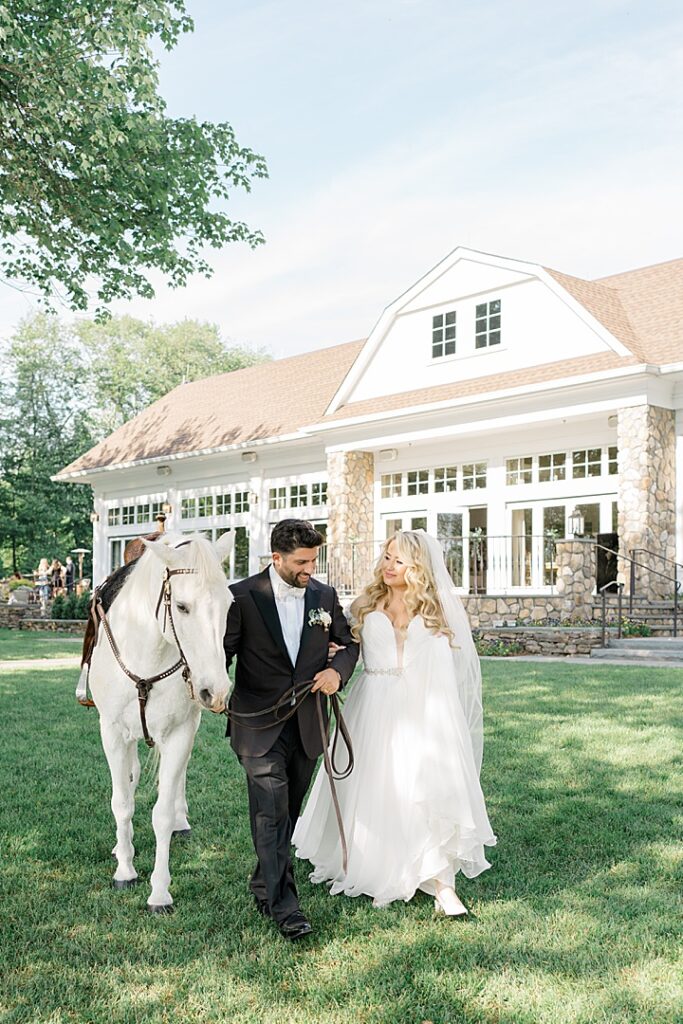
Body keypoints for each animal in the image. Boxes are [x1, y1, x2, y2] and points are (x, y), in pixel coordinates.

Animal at [88, 532, 233, 909]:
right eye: (181, 606)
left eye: (229, 605)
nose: (216, 691)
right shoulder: (112, 732)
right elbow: (122, 802)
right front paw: (125, 870)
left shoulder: (181, 732)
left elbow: (162, 813)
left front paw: (159, 891)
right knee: (131, 778)